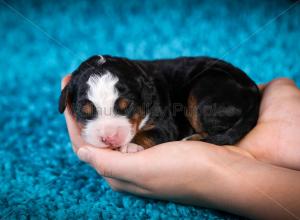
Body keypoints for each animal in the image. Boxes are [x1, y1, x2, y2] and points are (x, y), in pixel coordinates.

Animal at [58, 55, 260, 153]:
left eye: (126, 106)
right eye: (85, 111)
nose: (109, 139)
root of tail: (253, 91)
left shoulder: (166, 126)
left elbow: (150, 134)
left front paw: (131, 145)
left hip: (203, 90)